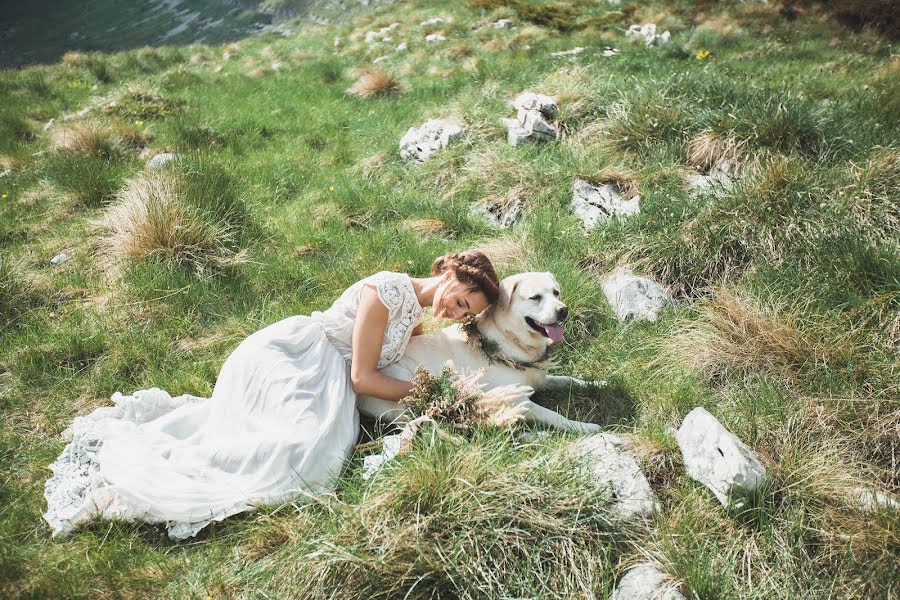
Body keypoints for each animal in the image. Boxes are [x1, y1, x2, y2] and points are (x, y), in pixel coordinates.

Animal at [356, 270, 600, 432]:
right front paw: (584, 426)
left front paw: (596, 383)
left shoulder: (538, 379)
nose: (563, 310)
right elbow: (554, 416)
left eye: (556, 293)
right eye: (535, 297)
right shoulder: (517, 401)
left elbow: (568, 379)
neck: (509, 338)